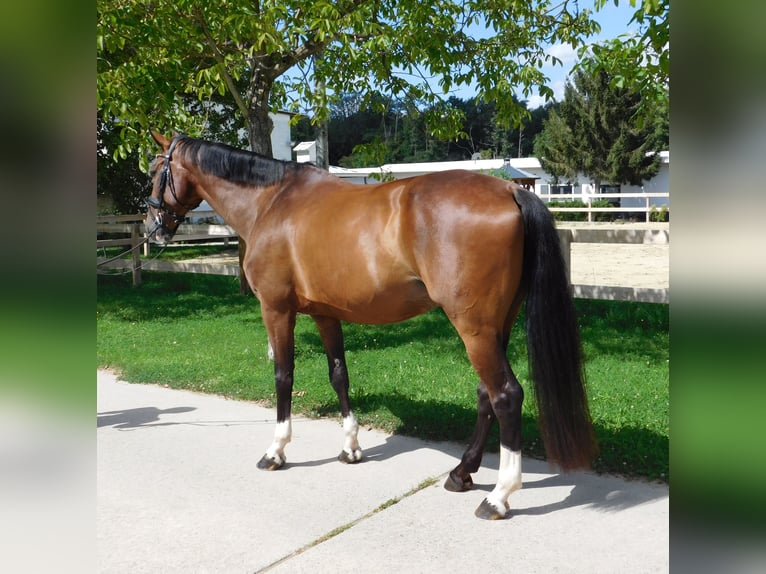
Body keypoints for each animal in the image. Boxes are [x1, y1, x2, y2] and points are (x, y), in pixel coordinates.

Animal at [146, 134, 600, 520]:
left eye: (154, 169)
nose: (154, 227)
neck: (272, 202)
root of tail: (511, 190)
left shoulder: (276, 309)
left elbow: (283, 376)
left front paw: (276, 451)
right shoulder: (325, 313)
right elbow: (338, 374)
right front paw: (350, 447)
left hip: (473, 329)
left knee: (506, 395)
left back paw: (499, 496)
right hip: (495, 325)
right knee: (486, 394)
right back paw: (461, 473)